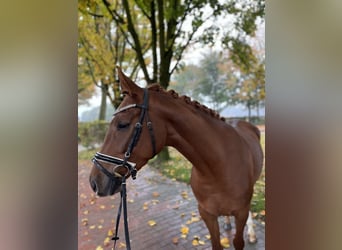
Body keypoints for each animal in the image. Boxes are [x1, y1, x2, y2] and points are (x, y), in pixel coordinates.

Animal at [89, 68, 264, 250]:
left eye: (122, 124)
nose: (94, 182)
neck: (218, 168)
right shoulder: (207, 214)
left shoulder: (241, 212)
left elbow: (239, 240)